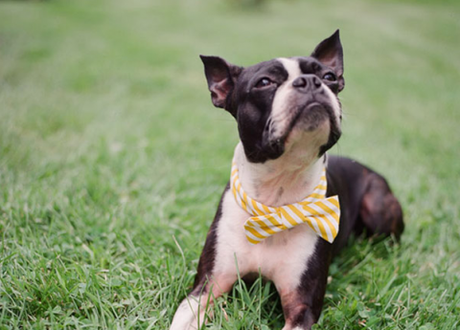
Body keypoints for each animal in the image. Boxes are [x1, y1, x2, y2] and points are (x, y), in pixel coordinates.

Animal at [169, 29, 402, 328]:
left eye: (329, 76)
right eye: (264, 82)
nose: (311, 81)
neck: (276, 199)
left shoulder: (301, 307)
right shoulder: (206, 287)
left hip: (377, 208)